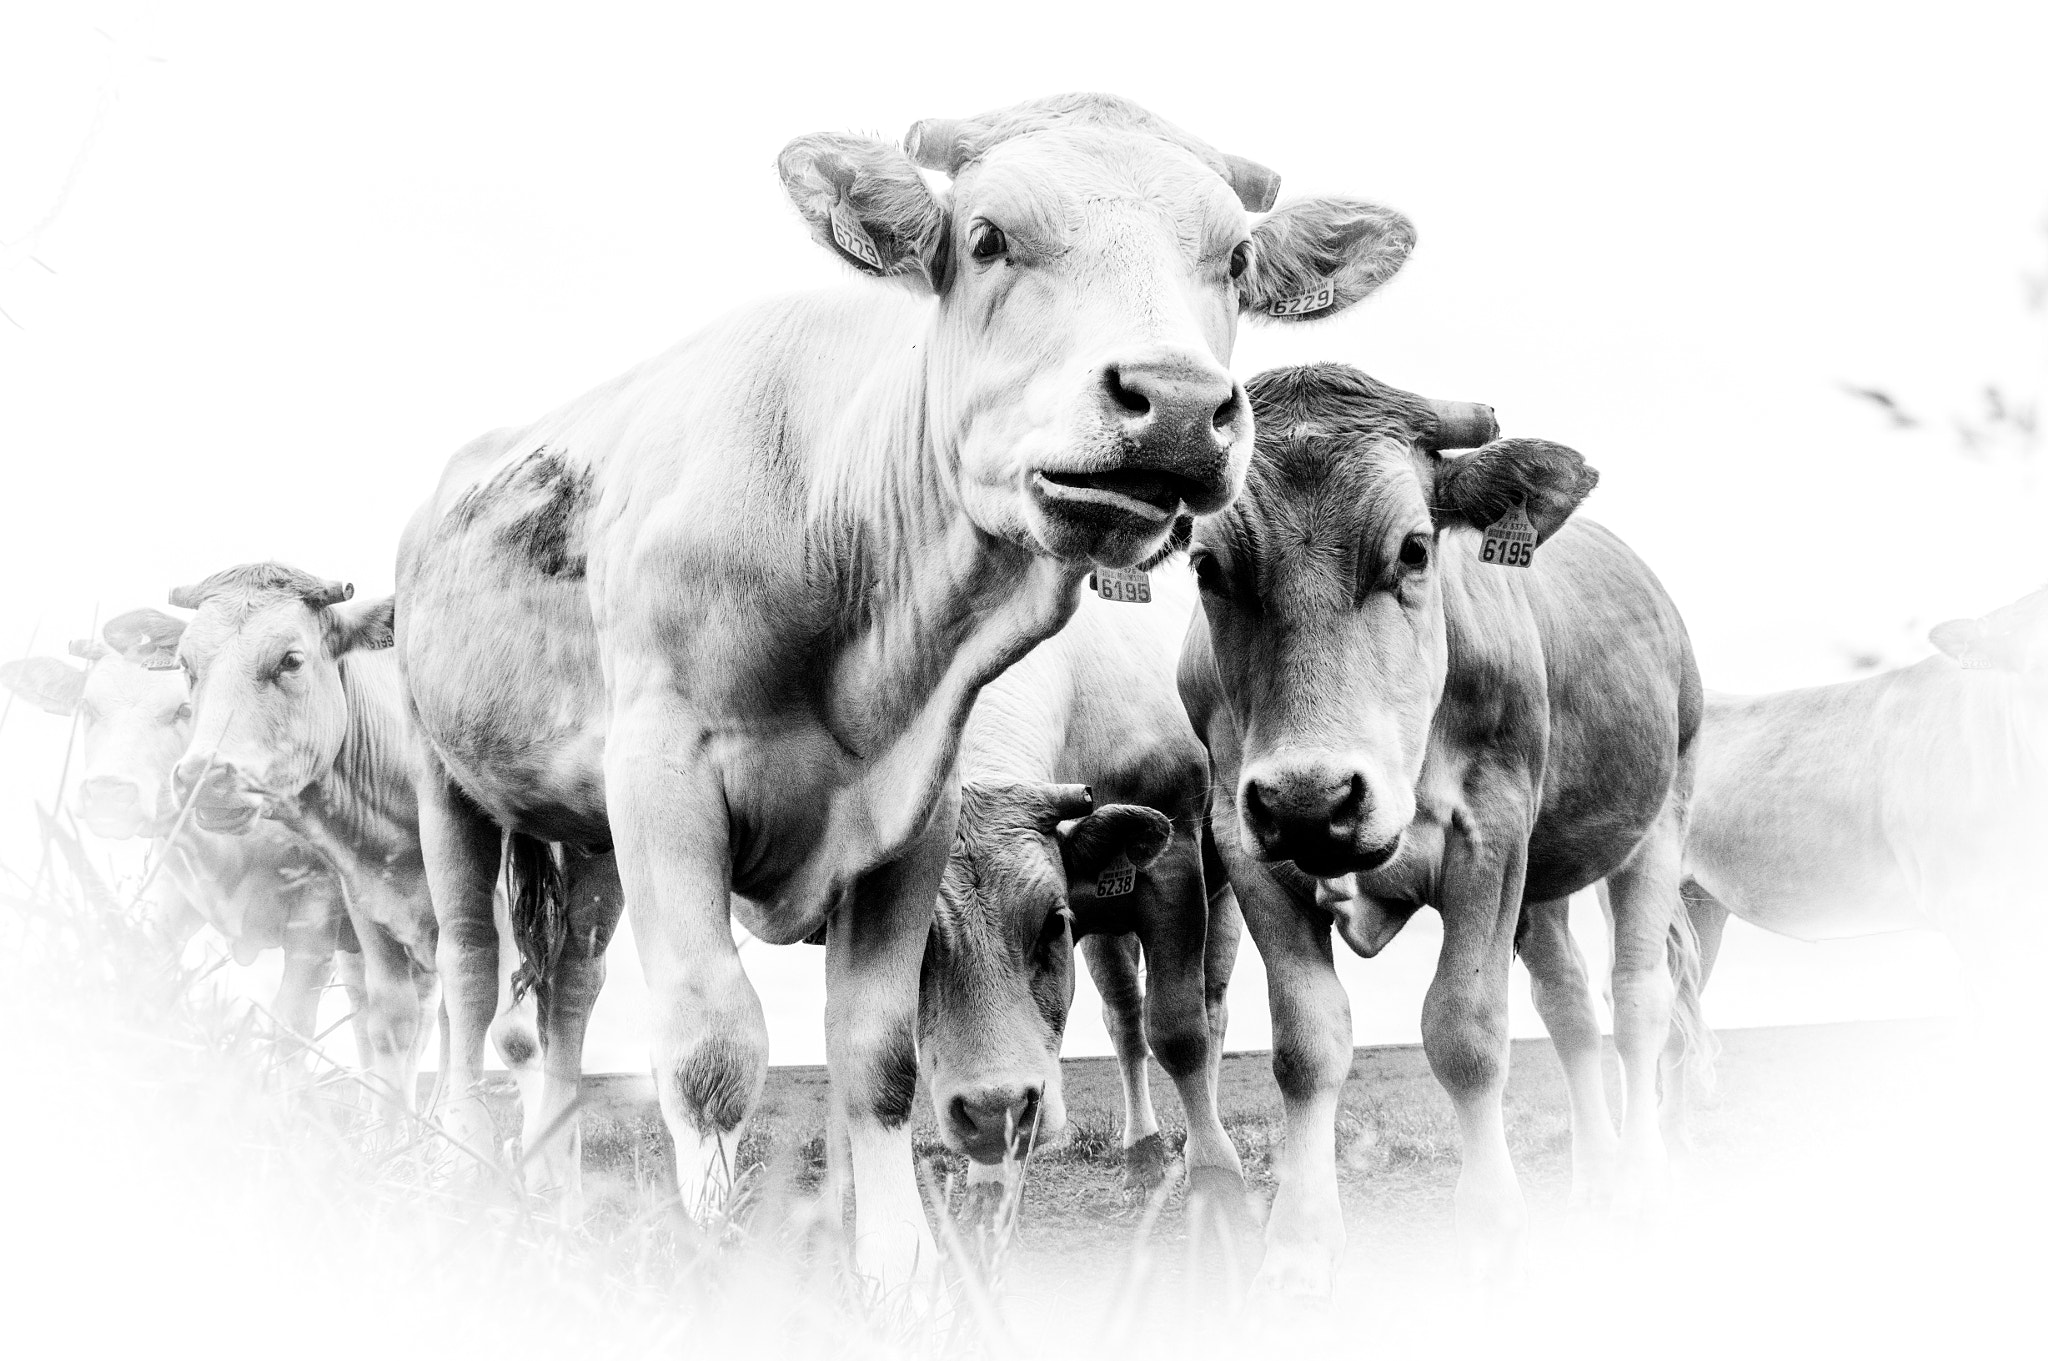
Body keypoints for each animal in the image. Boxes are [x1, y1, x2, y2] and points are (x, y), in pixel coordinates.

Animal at [1, 608, 355, 1054]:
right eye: (87, 706)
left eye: (185, 710)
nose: (109, 792)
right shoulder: (173, 894)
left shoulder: (316, 918)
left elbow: (291, 1031)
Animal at [164, 566, 543, 1151]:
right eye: (185, 665)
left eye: (290, 660)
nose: (204, 777)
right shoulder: (366, 905)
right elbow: (390, 1025)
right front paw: (393, 1149)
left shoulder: (500, 907)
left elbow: (513, 1034)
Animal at [911, 562, 1245, 1211]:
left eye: (1051, 922)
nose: (993, 1110)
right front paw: (987, 1191)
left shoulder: (1174, 869)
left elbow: (1181, 1030)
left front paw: (1217, 1173)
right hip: (1108, 925)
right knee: (1124, 1018)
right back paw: (1143, 1151)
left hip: (1219, 894)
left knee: (1211, 1008)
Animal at [1178, 362, 1702, 1294]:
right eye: (1206, 564)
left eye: (1415, 549)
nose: (1313, 798)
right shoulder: (1246, 840)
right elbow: (1307, 1042)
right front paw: (1300, 1245)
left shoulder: (1489, 831)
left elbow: (1466, 1032)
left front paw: (1492, 1230)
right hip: (1544, 878)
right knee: (1570, 1004)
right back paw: (1597, 1177)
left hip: (1659, 819)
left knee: (1639, 1000)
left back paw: (1641, 1183)